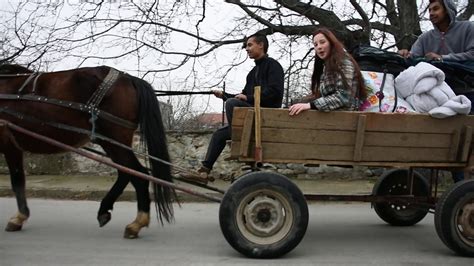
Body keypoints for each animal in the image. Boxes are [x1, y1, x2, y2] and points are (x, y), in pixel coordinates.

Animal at [0, 63, 175, 238]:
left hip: (113, 138)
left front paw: (19, 217)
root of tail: (128, 78)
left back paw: (137, 223)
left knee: (138, 174)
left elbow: (17, 180)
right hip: (109, 141)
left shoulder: (8, 141)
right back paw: (106, 210)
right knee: (127, 172)